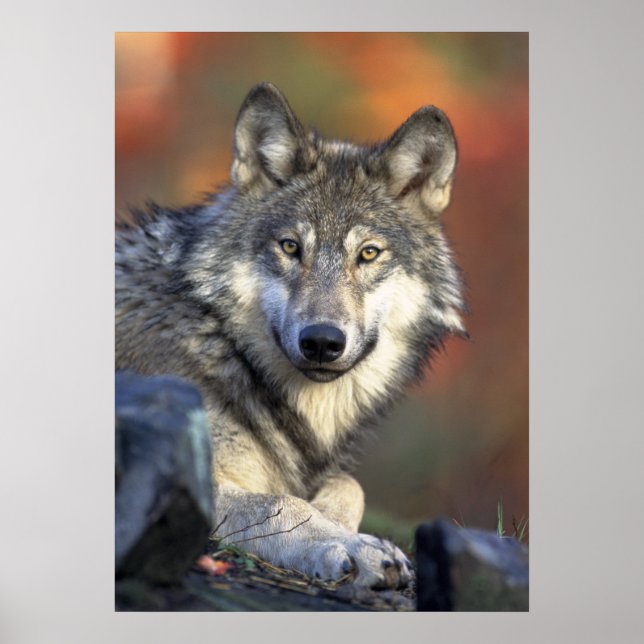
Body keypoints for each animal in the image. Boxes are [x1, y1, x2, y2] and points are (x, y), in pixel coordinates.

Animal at [116, 83, 464, 589]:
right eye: (290, 247)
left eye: (368, 253)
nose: (321, 341)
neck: (222, 344)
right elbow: (283, 502)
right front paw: (352, 546)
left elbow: (349, 484)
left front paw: (344, 530)